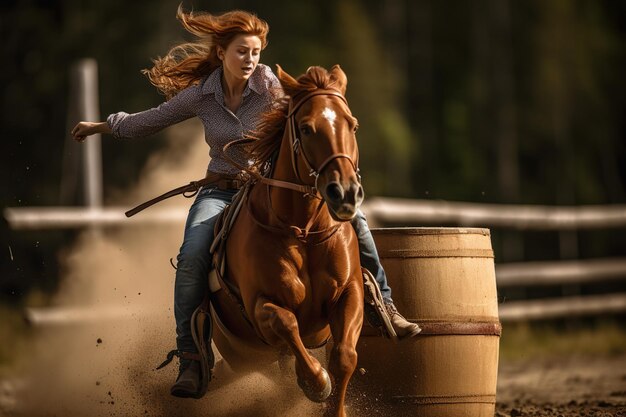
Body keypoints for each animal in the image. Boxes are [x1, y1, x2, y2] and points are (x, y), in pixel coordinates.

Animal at [208, 65, 364, 416]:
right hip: (243, 355)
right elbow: (287, 323)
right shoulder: (260, 304)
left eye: (353, 124)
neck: (303, 231)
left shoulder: (350, 292)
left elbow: (345, 356)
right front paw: (315, 382)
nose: (345, 192)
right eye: (306, 129)